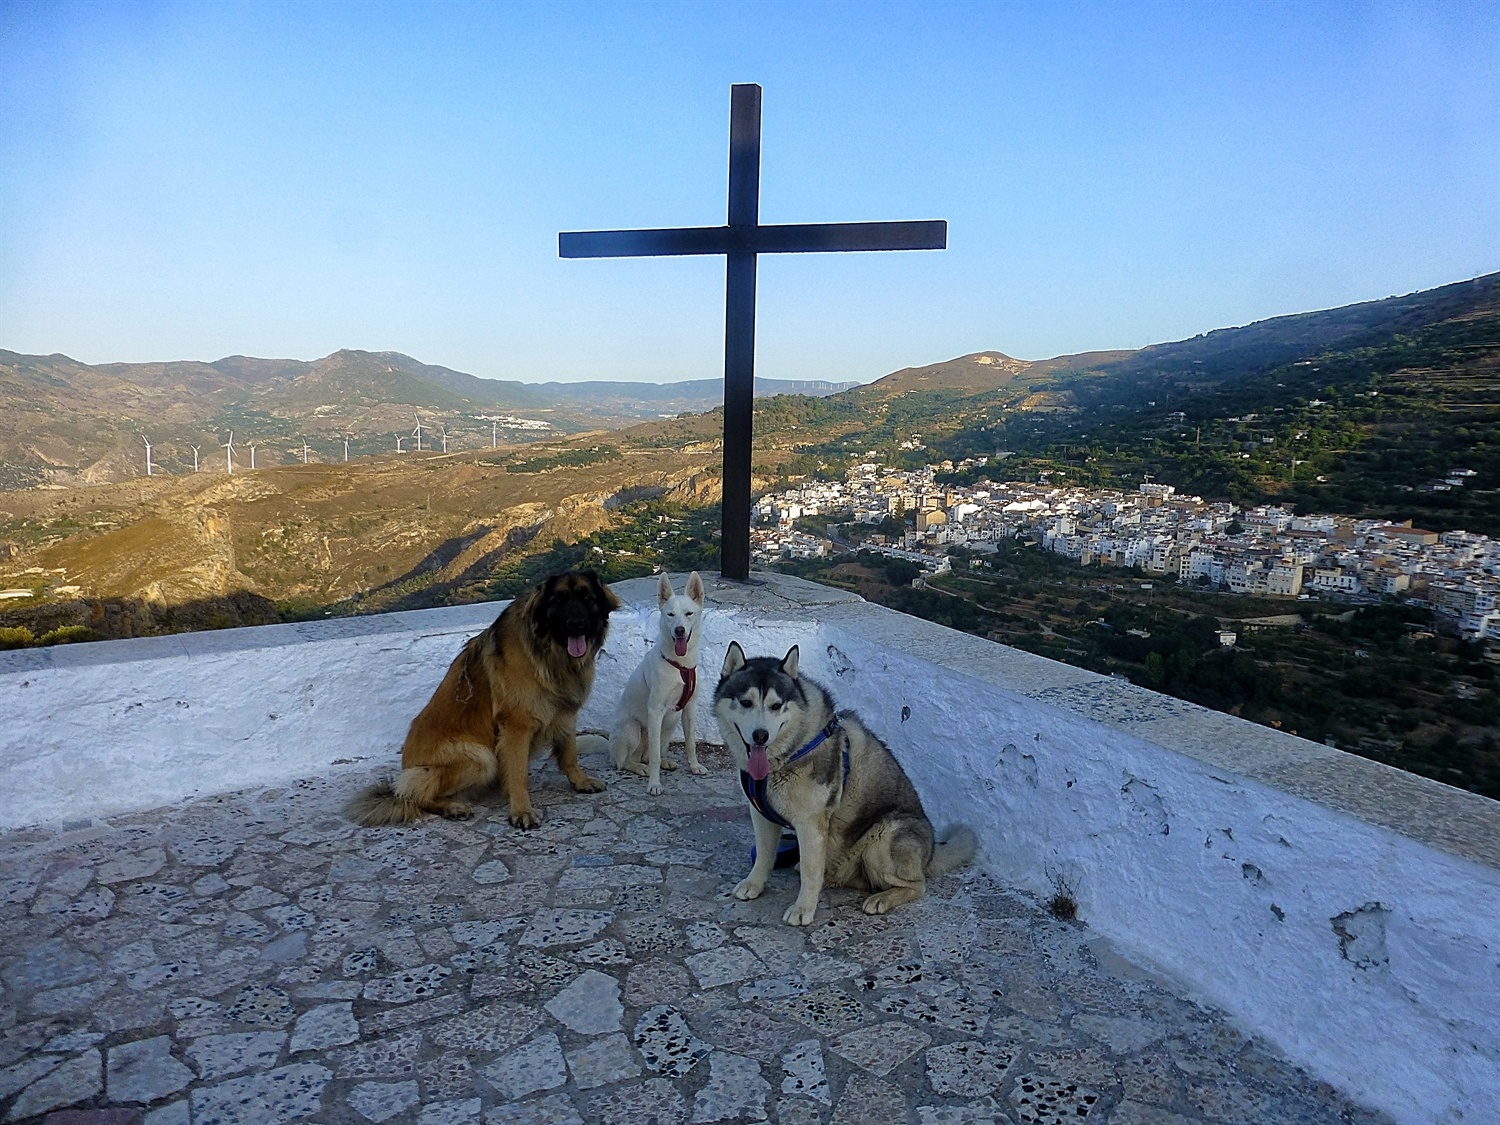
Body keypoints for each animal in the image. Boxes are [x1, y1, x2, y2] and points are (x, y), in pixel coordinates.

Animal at [349, 573, 621, 828]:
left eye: (587, 598)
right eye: (558, 600)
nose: (575, 625)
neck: (548, 654)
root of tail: (406, 765)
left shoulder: (565, 712)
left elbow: (569, 754)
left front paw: (580, 781)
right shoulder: (516, 726)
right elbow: (519, 774)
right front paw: (521, 810)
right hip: (480, 758)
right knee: (416, 795)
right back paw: (452, 807)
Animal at [603, 573, 708, 792]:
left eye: (689, 614)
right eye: (670, 614)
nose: (679, 630)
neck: (680, 665)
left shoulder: (689, 708)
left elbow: (691, 743)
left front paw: (694, 766)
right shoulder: (655, 710)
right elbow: (654, 757)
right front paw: (654, 784)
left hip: (670, 725)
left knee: (647, 754)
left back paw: (664, 762)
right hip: (632, 729)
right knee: (626, 761)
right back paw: (640, 768)